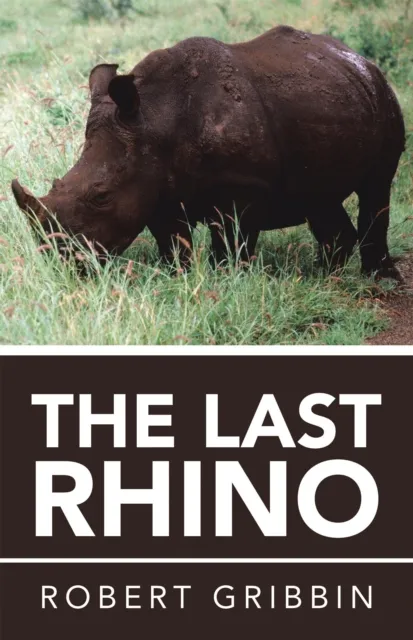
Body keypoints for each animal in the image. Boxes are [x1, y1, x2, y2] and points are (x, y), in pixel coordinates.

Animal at [12, 25, 405, 277]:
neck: (154, 118)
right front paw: (180, 278)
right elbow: (171, 242)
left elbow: (231, 243)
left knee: (377, 185)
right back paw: (323, 276)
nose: (64, 263)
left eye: (101, 196)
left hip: (383, 98)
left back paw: (378, 279)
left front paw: (227, 280)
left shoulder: (244, 188)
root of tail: (359, 59)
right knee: (319, 196)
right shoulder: (154, 184)